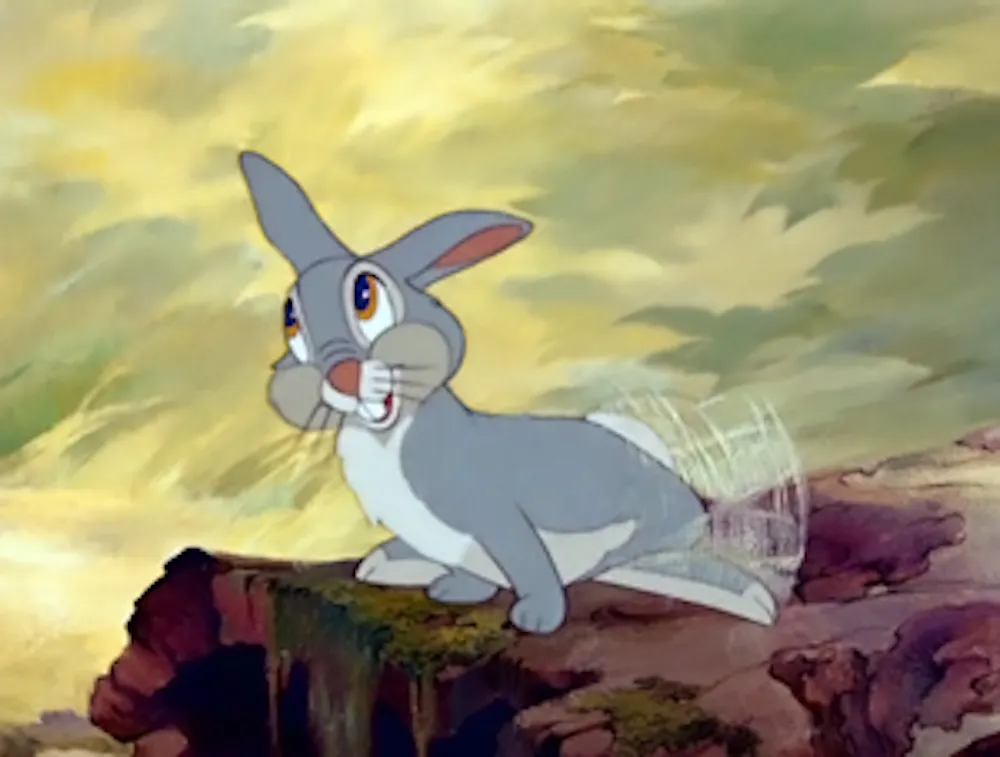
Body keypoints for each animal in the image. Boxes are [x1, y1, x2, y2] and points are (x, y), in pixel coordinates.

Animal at [239, 150, 780, 635]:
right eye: (291, 318)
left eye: (365, 295)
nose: (342, 375)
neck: (390, 437)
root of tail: (688, 498)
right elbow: (472, 569)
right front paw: (454, 589)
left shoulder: (494, 510)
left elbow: (523, 554)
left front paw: (537, 618)